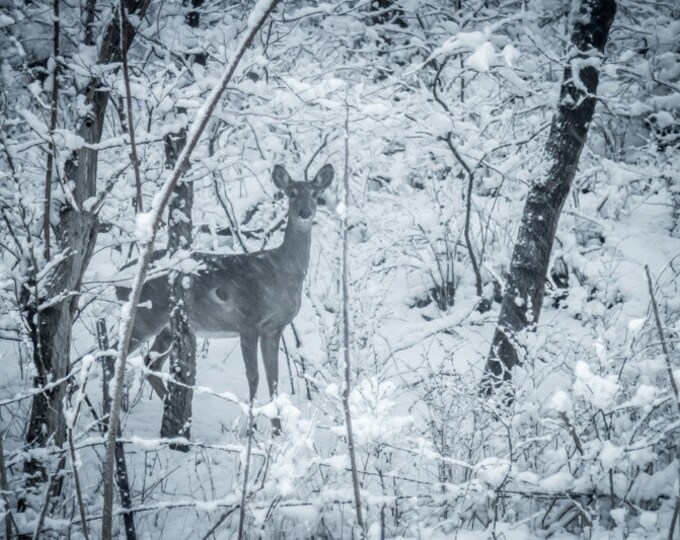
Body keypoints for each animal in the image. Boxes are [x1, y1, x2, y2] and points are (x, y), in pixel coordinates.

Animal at [118, 165, 336, 430]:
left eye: (315, 193)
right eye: (291, 193)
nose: (305, 212)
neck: (281, 272)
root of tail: (120, 276)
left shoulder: (274, 328)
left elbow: (273, 379)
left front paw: (276, 432)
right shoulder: (249, 321)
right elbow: (253, 377)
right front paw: (250, 430)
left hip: (168, 326)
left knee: (151, 363)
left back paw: (183, 423)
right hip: (146, 314)